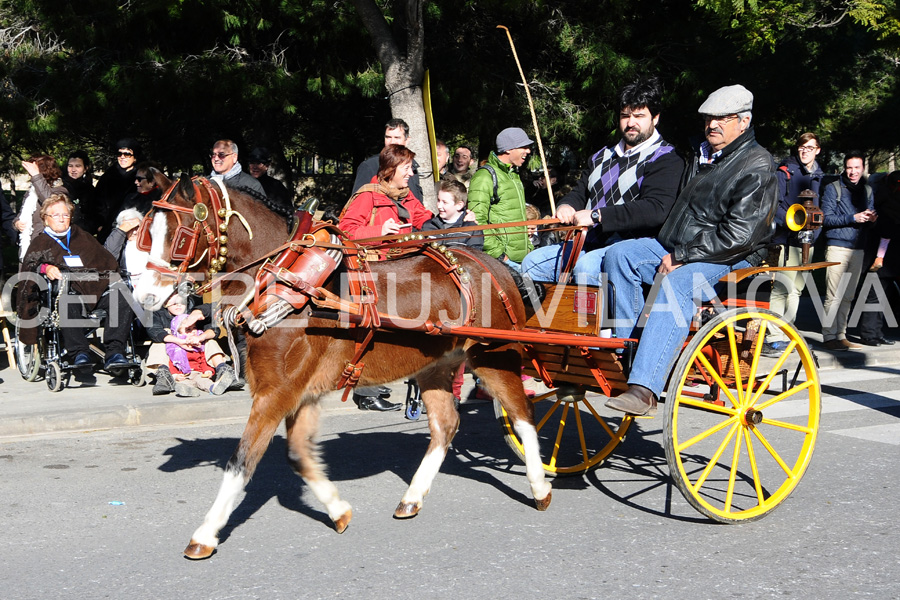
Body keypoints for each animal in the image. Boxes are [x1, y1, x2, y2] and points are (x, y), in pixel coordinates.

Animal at [132, 173, 548, 556]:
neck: (289, 282)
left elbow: (242, 460)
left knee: (522, 415)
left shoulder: (276, 392)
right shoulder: (300, 392)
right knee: (446, 425)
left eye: (178, 234)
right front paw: (338, 510)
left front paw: (206, 533)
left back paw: (541, 485)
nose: (143, 294)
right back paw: (412, 498)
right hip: (435, 365)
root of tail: (496, 265)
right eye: (146, 233)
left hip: (494, 357)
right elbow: (298, 456)